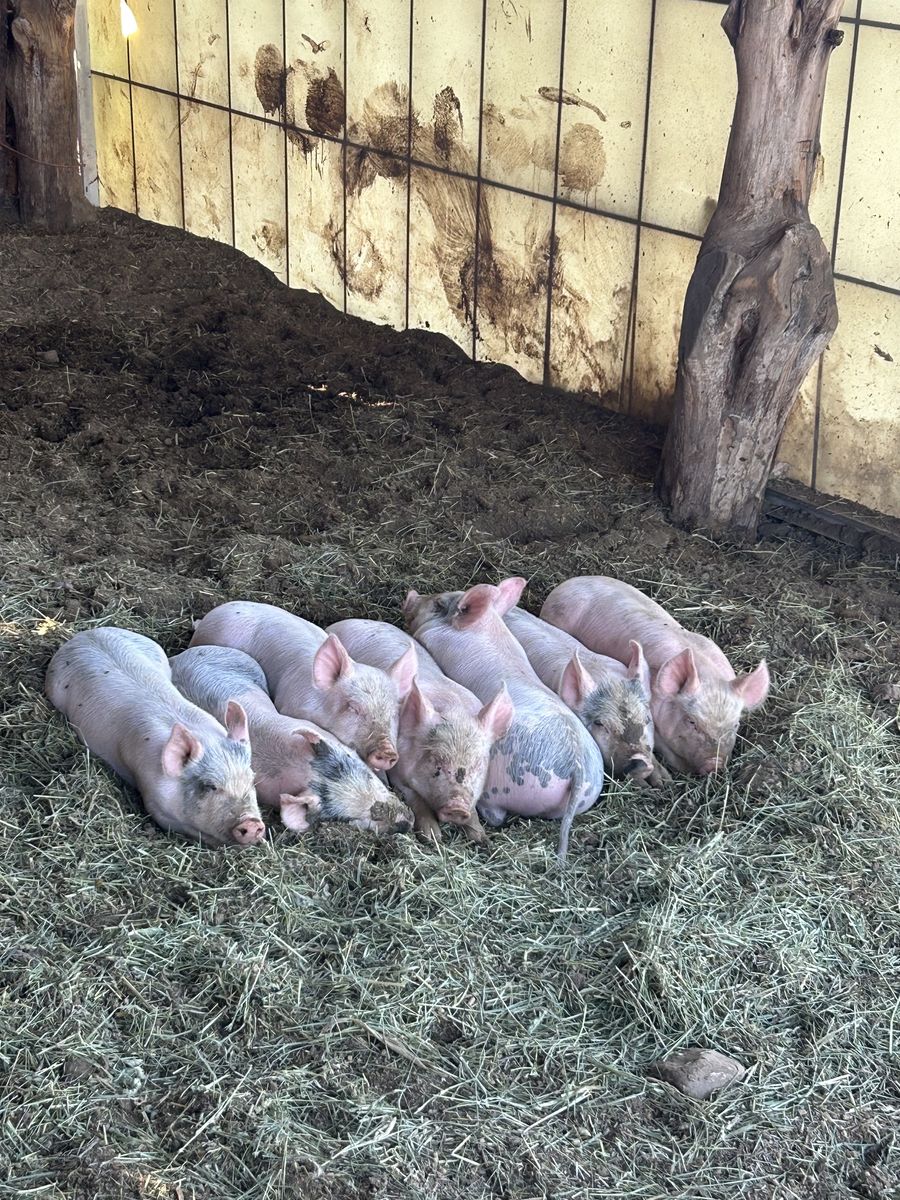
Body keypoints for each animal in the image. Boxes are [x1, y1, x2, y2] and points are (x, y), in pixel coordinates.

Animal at [327, 618, 515, 845]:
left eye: (478, 764)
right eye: (435, 761)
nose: (457, 806)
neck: (453, 709)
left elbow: (474, 814)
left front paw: (482, 839)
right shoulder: (398, 773)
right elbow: (417, 801)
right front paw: (432, 837)